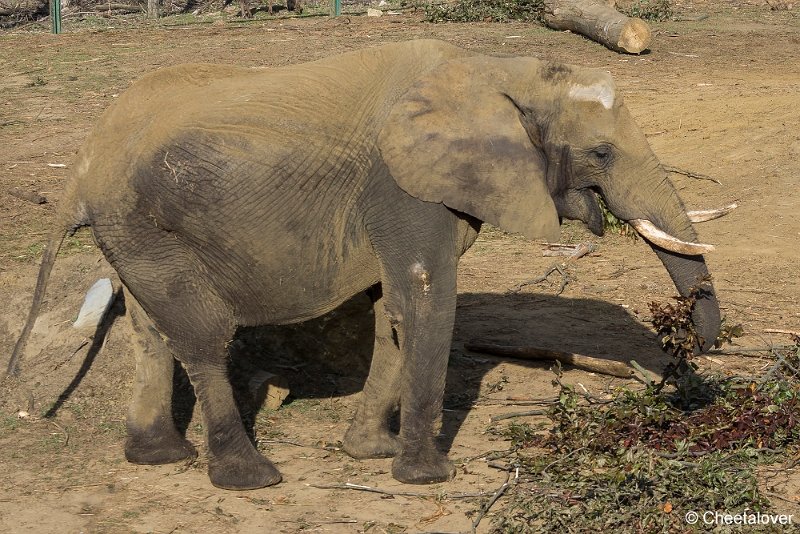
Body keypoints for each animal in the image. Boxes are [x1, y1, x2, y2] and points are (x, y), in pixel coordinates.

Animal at [7, 39, 720, 494]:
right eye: (601, 153)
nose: (696, 351)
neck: (495, 69)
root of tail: (80, 167)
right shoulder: (403, 186)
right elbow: (424, 298)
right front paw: (426, 476)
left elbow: (392, 312)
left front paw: (369, 453)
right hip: (139, 222)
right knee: (202, 337)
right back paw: (250, 478)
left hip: (135, 232)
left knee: (149, 330)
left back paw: (158, 457)